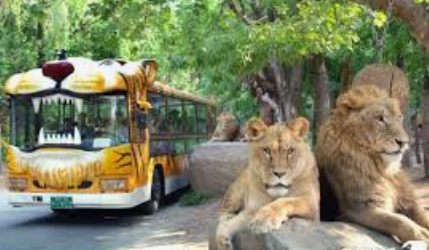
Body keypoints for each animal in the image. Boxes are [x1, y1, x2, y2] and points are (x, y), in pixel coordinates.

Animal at [216, 117, 320, 250]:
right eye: (267, 151)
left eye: (290, 151)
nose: (280, 173)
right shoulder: (252, 209)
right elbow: (232, 223)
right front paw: (222, 241)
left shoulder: (312, 203)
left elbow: (286, 201)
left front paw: (264, 219)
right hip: (236, 191)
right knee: (223, 212)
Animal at [314, 84, 428, 244]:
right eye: (379, 118)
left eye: (399, 117)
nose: (404, 142)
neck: (382, 169)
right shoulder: (356, 209)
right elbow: (398, 221)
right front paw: (423, 235)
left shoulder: (408, 201)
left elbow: (423, 216)